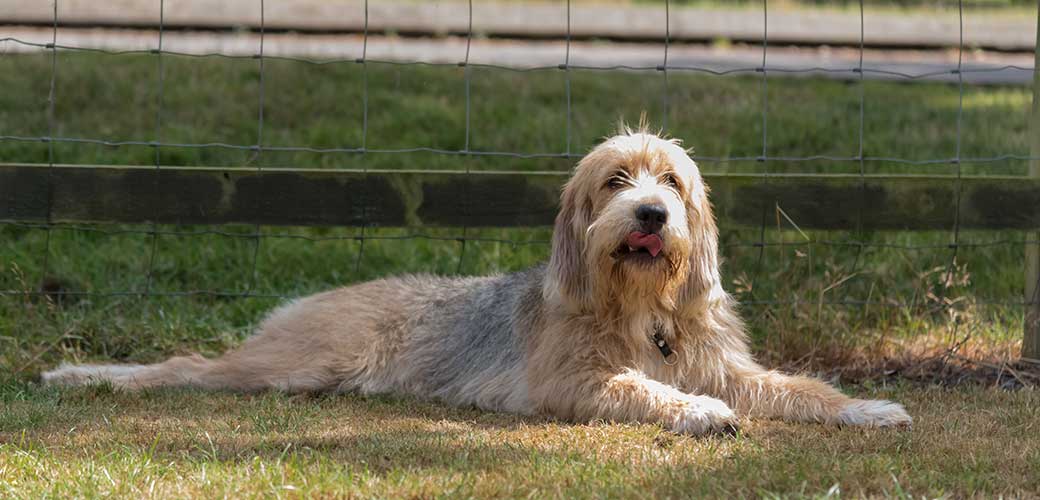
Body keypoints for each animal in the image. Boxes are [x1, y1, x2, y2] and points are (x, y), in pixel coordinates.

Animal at [38, 127, 911, 432]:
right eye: (616, 180)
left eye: (672, 181)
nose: (651, 214)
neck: (644, 312)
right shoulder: (575, 382)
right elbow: (644, 389)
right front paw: (696, 412)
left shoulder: (729, 366)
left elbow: (797, 387)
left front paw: (865, 407)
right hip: (288, 364)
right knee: (185, 367)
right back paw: (84, 376)